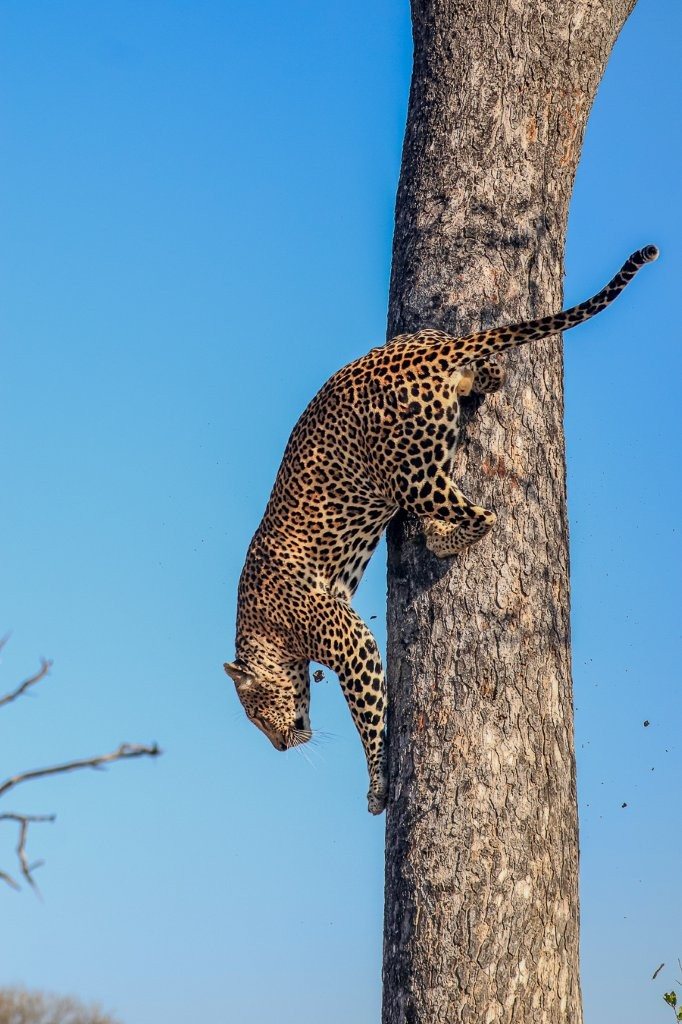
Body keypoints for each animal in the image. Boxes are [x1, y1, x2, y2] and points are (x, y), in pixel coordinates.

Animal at [224, 245, 658, 814]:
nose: (278, 746)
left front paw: (377, 788)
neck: (263, 632)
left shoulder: (351, 644)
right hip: (430, 374)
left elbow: (368, 718)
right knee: (492, 373)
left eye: (255, 713)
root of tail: (432, 352)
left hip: (413, 478)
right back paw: (482, 375)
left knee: (483, 515)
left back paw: (440, 535)